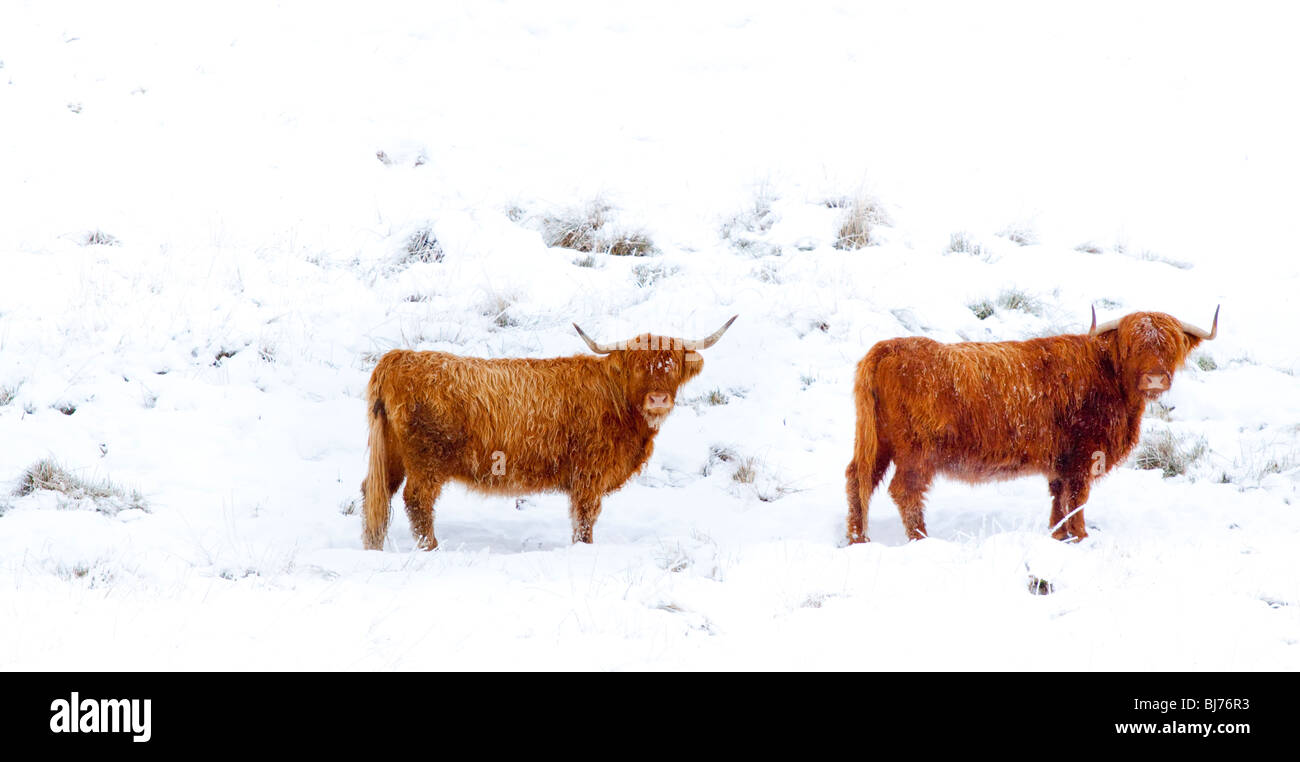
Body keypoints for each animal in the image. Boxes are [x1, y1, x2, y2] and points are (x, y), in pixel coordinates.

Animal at [361, 313, 738, 546]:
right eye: (637, 366)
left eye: (670, 364)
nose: (658, 398)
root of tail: (399, 357)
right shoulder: (589, 475)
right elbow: (585, 519)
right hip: (427, 461)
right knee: (416, 502)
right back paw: (432, 548)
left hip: (390, 455)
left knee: (375, 494)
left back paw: (373, 546)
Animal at [842, 305, 1216, 543]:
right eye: (1132, 346)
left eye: (1171, 347)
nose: (1155, 378)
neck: (1107, 376)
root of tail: (889, 347)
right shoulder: (1083, 454)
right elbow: (1077, 496)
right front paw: (1080, 536)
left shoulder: (1062, 459)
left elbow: (1058, 496)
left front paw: (1059, 534)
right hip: (916, 451)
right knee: (904, 490)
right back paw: (921, 540)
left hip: (876, 442)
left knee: (858, 480)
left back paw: (858, 538)